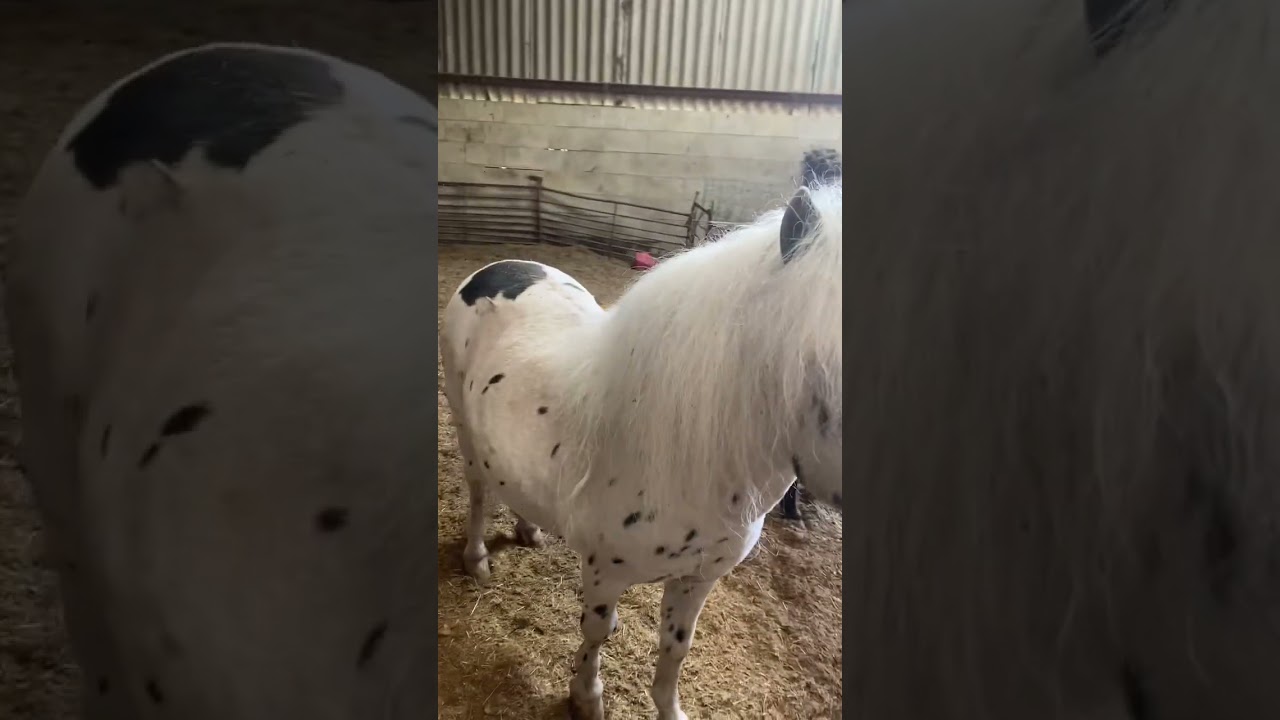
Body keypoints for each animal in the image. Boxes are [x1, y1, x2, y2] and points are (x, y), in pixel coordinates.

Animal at [439, 184, 843, 720]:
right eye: (810, 362)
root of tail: (498, 266)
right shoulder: (605, 572)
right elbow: (597, 631)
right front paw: (586, 697)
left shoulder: (698, 579)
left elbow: (676, 648)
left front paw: (669, 708)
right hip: (463, 426)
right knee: (480, 493)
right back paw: (477, 558)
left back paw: (528, 529)